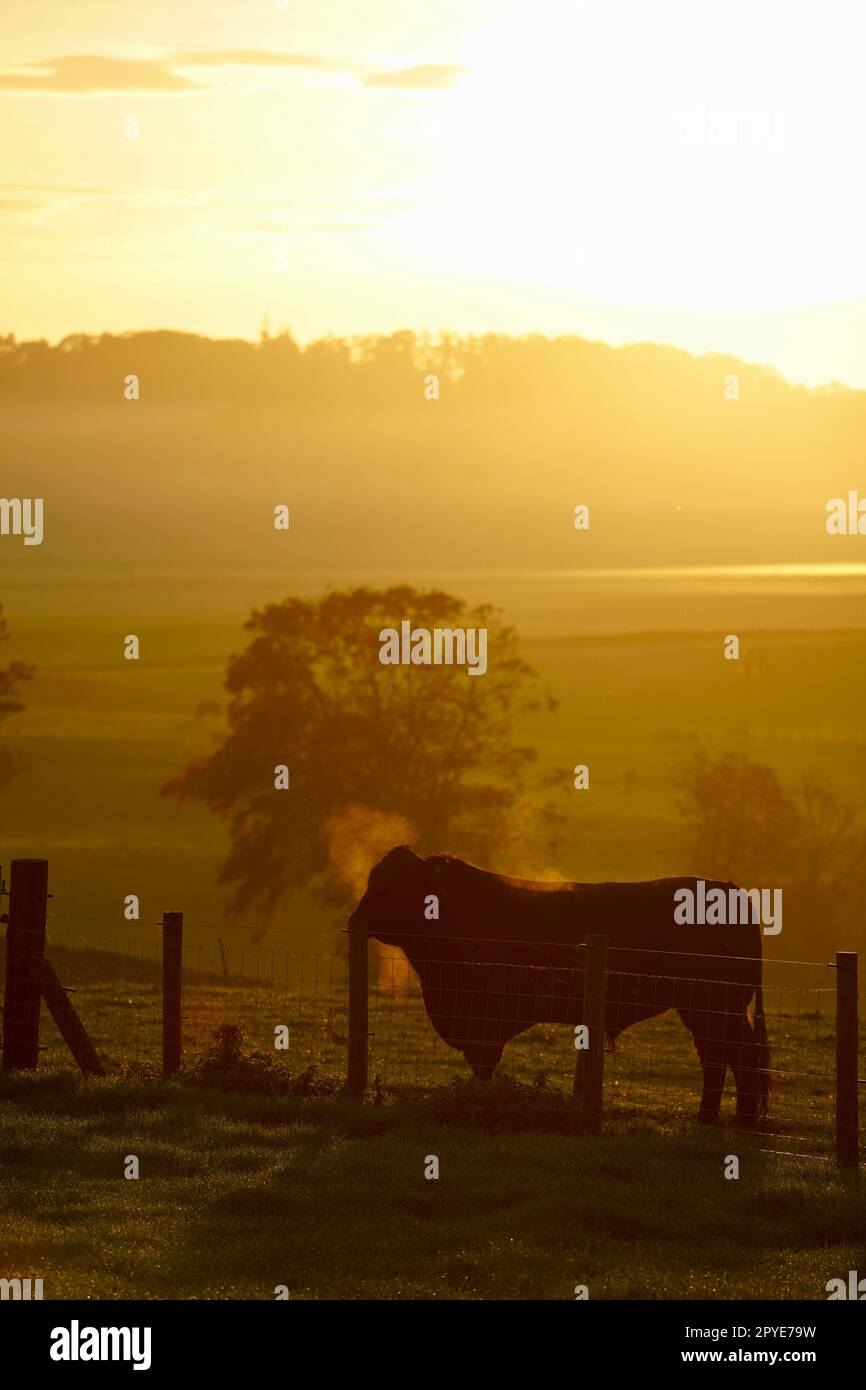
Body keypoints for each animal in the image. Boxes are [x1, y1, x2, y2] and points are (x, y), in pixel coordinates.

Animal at [348, 839, 767, 1123]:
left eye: (397, 884)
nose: (356, 918)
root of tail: (728, 888)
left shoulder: (484, 1017)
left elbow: (483, 1065)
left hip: (716, 1005)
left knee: (741, 1057)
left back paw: (740, 1123)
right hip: (704, 1009)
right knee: (718, 1058)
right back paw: (707, 1119)